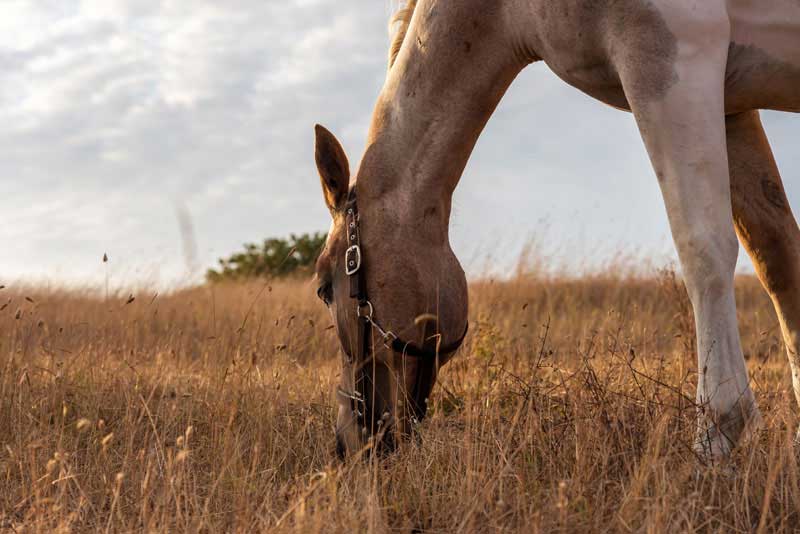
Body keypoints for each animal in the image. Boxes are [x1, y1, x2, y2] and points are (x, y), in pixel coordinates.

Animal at [310, 1, 800, 460]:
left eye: (325, 287)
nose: (346, 442)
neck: (505, 10)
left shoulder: (674, 59)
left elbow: (702, 247)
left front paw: (718, 432)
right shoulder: (732, 103)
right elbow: (778, 258)